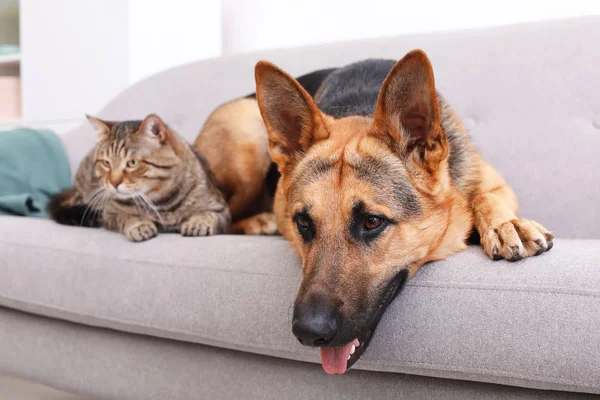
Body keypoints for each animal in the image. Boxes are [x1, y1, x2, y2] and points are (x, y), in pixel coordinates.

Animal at [49, 114, 231, 242]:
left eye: (132, 163)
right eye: (106, 163)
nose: (113, 183)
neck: (161, 202)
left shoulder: (221, 210)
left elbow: (208, 214)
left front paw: (198, 222)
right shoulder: (109, 214)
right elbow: (127, 217)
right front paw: (139, 225)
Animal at [196, 50, 552, 376]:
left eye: (372, 222)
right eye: (303, 223)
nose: (309, 333)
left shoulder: (494, 184)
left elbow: (485, 198)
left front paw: (507, 224)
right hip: (247, 141)